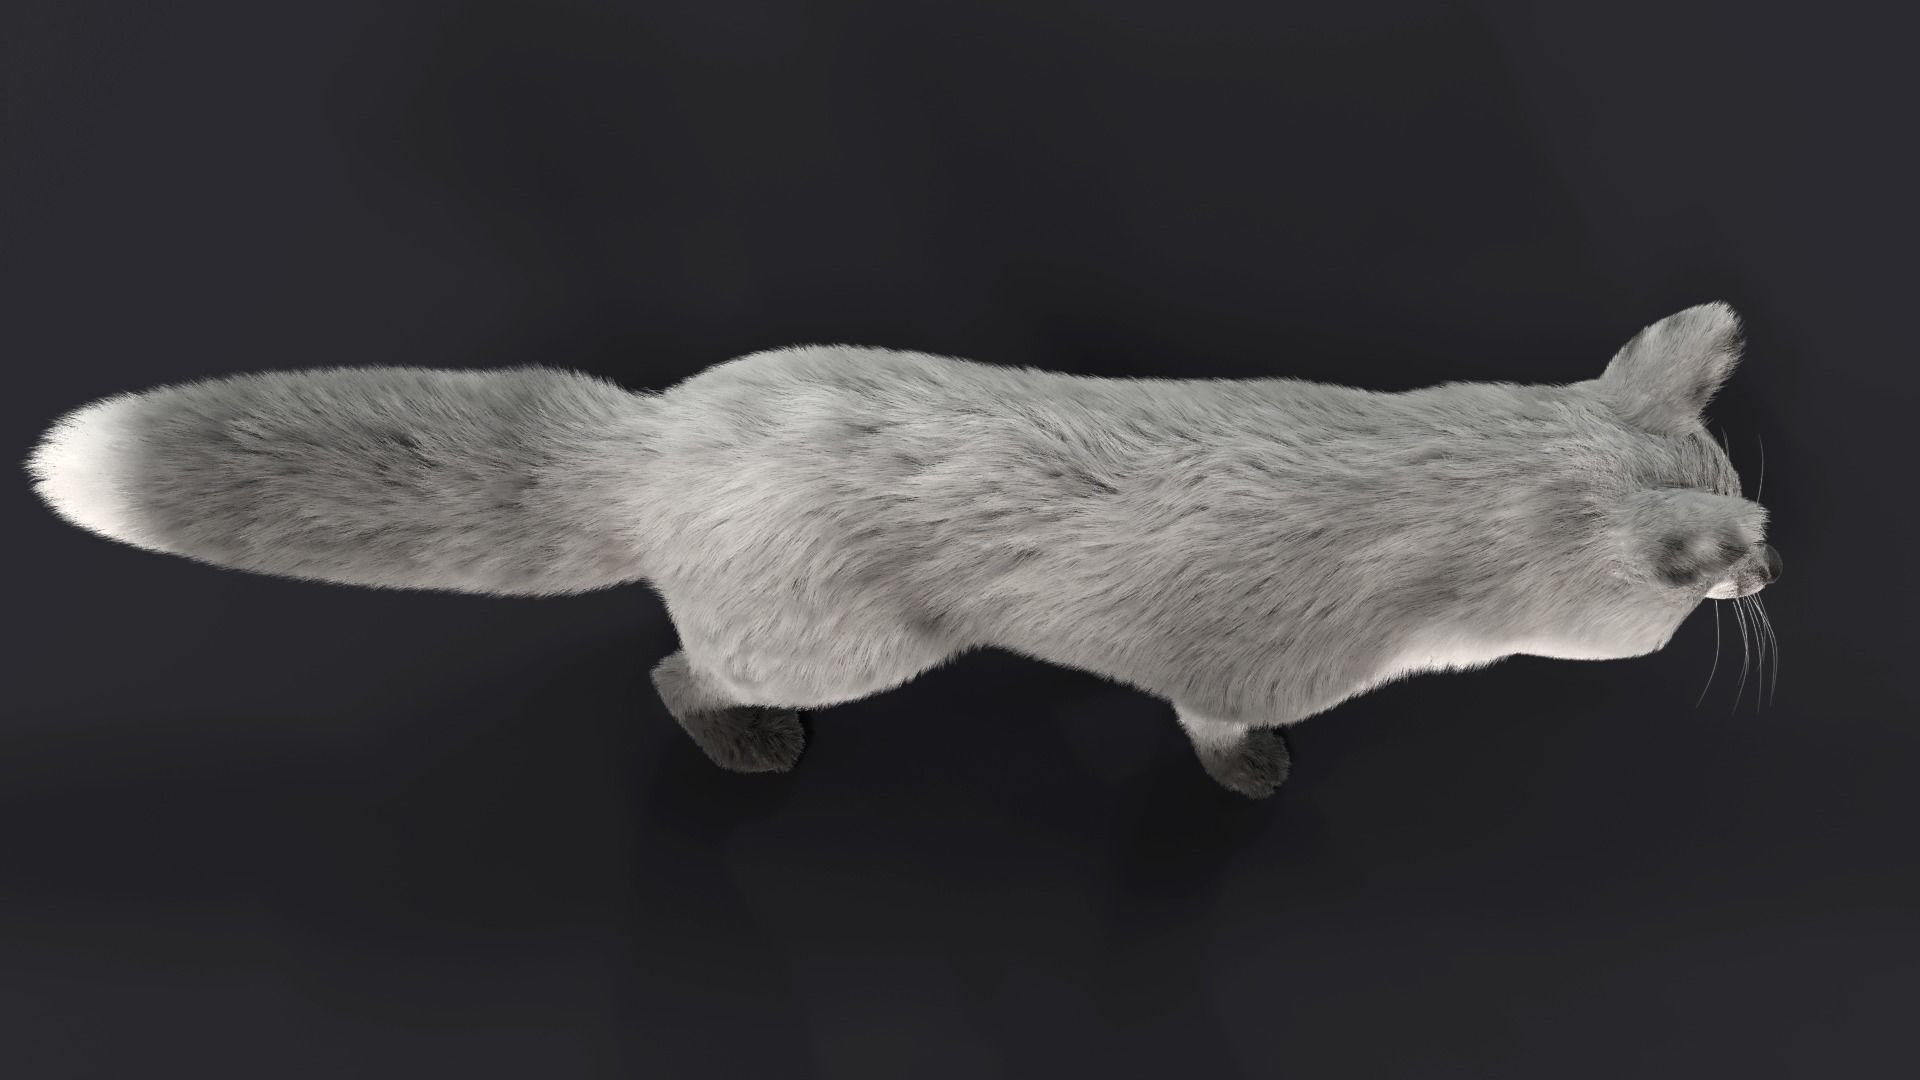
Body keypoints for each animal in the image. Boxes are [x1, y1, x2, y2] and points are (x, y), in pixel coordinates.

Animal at [26, 303, 1778, 797]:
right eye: (1726, 553)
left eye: (1752, 507)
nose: (1772, 568)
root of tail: (659, 437)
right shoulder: (1245, 662)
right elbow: (1220, 733)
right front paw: (1255, 779)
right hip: (845, 650)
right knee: (676, 672)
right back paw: (748, 748)